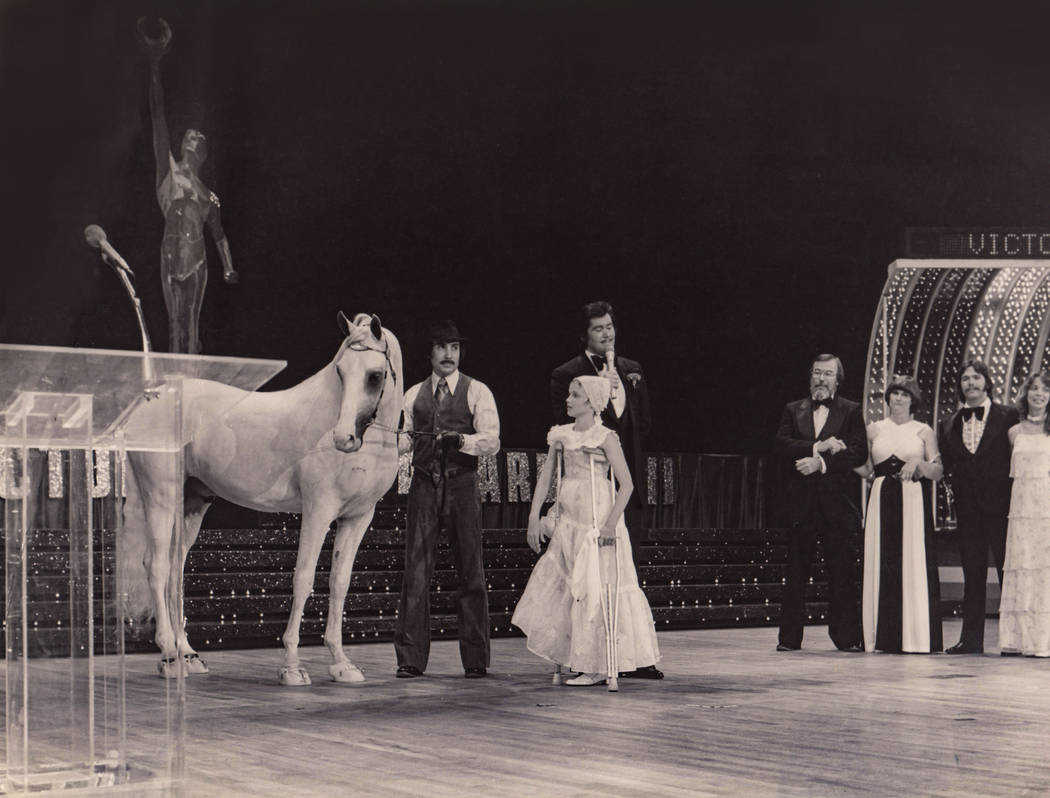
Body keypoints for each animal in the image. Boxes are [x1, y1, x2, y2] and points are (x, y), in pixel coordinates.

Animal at [120, 310, 403, 684]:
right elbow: (303, 578)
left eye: (375, 375)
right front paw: (292, 667)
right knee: (156, 567)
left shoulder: (358, 517)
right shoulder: (318, 511)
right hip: (161, 497)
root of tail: (150, 401)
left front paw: (342, 664)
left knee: (175, 571)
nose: (343, 438)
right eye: (341, 371)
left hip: (191, 504)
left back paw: (189, 655)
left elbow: (339, 582)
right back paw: (169, 656)